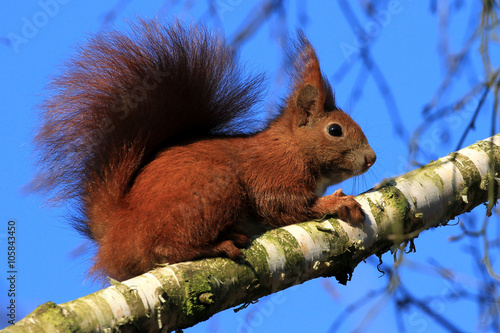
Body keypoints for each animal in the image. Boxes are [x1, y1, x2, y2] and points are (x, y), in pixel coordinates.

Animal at [33, 18, 376, 280]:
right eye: (335, 130)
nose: (371, 158)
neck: (292, 146)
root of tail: (118, 229)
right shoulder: (273, 170)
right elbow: (280, 204)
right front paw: (336, 202)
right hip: (214, 191)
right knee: (163, 248)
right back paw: (216, 245)